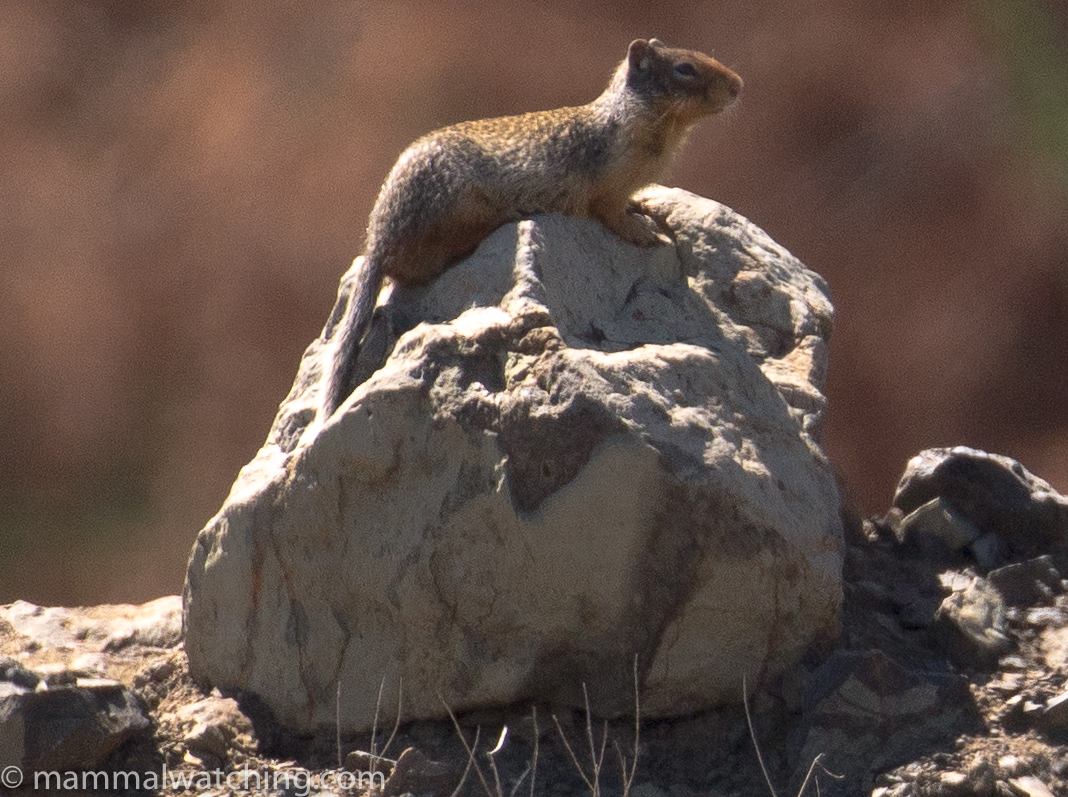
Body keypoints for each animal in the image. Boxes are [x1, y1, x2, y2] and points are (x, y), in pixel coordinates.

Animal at [324, 37, 743, 416]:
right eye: (684, 68)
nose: (738, 85)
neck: (643, 122)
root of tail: (377, 245)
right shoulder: (606, 188)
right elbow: (612, 215)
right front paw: (644, 232)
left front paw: (644, 208)